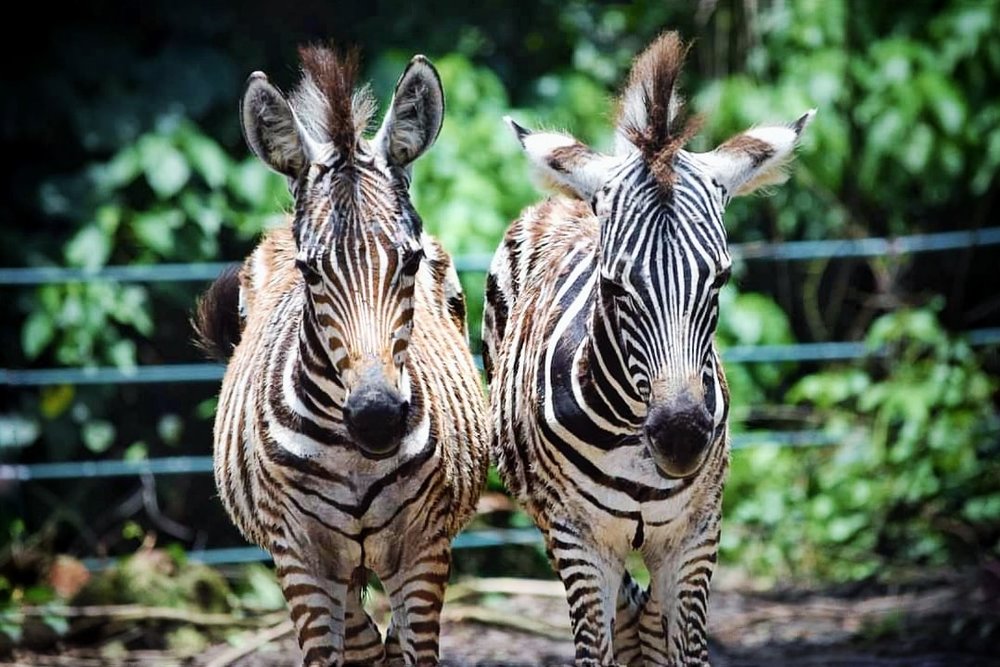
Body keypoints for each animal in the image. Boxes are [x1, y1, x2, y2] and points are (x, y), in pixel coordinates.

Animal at [194, 47, 489, 666]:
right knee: (362, 640)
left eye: (410, 261)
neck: (356, 459)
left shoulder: (423, 551)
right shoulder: (301, 560)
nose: (376, 418)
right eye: (310, 271)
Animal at [483, 32, 813, 666]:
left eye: (721, 280)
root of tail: (569, 202)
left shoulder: (696, 538)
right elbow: (597, 647)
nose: (681, 439)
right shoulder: (578, 541)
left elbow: (686, 647)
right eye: (613, 287)